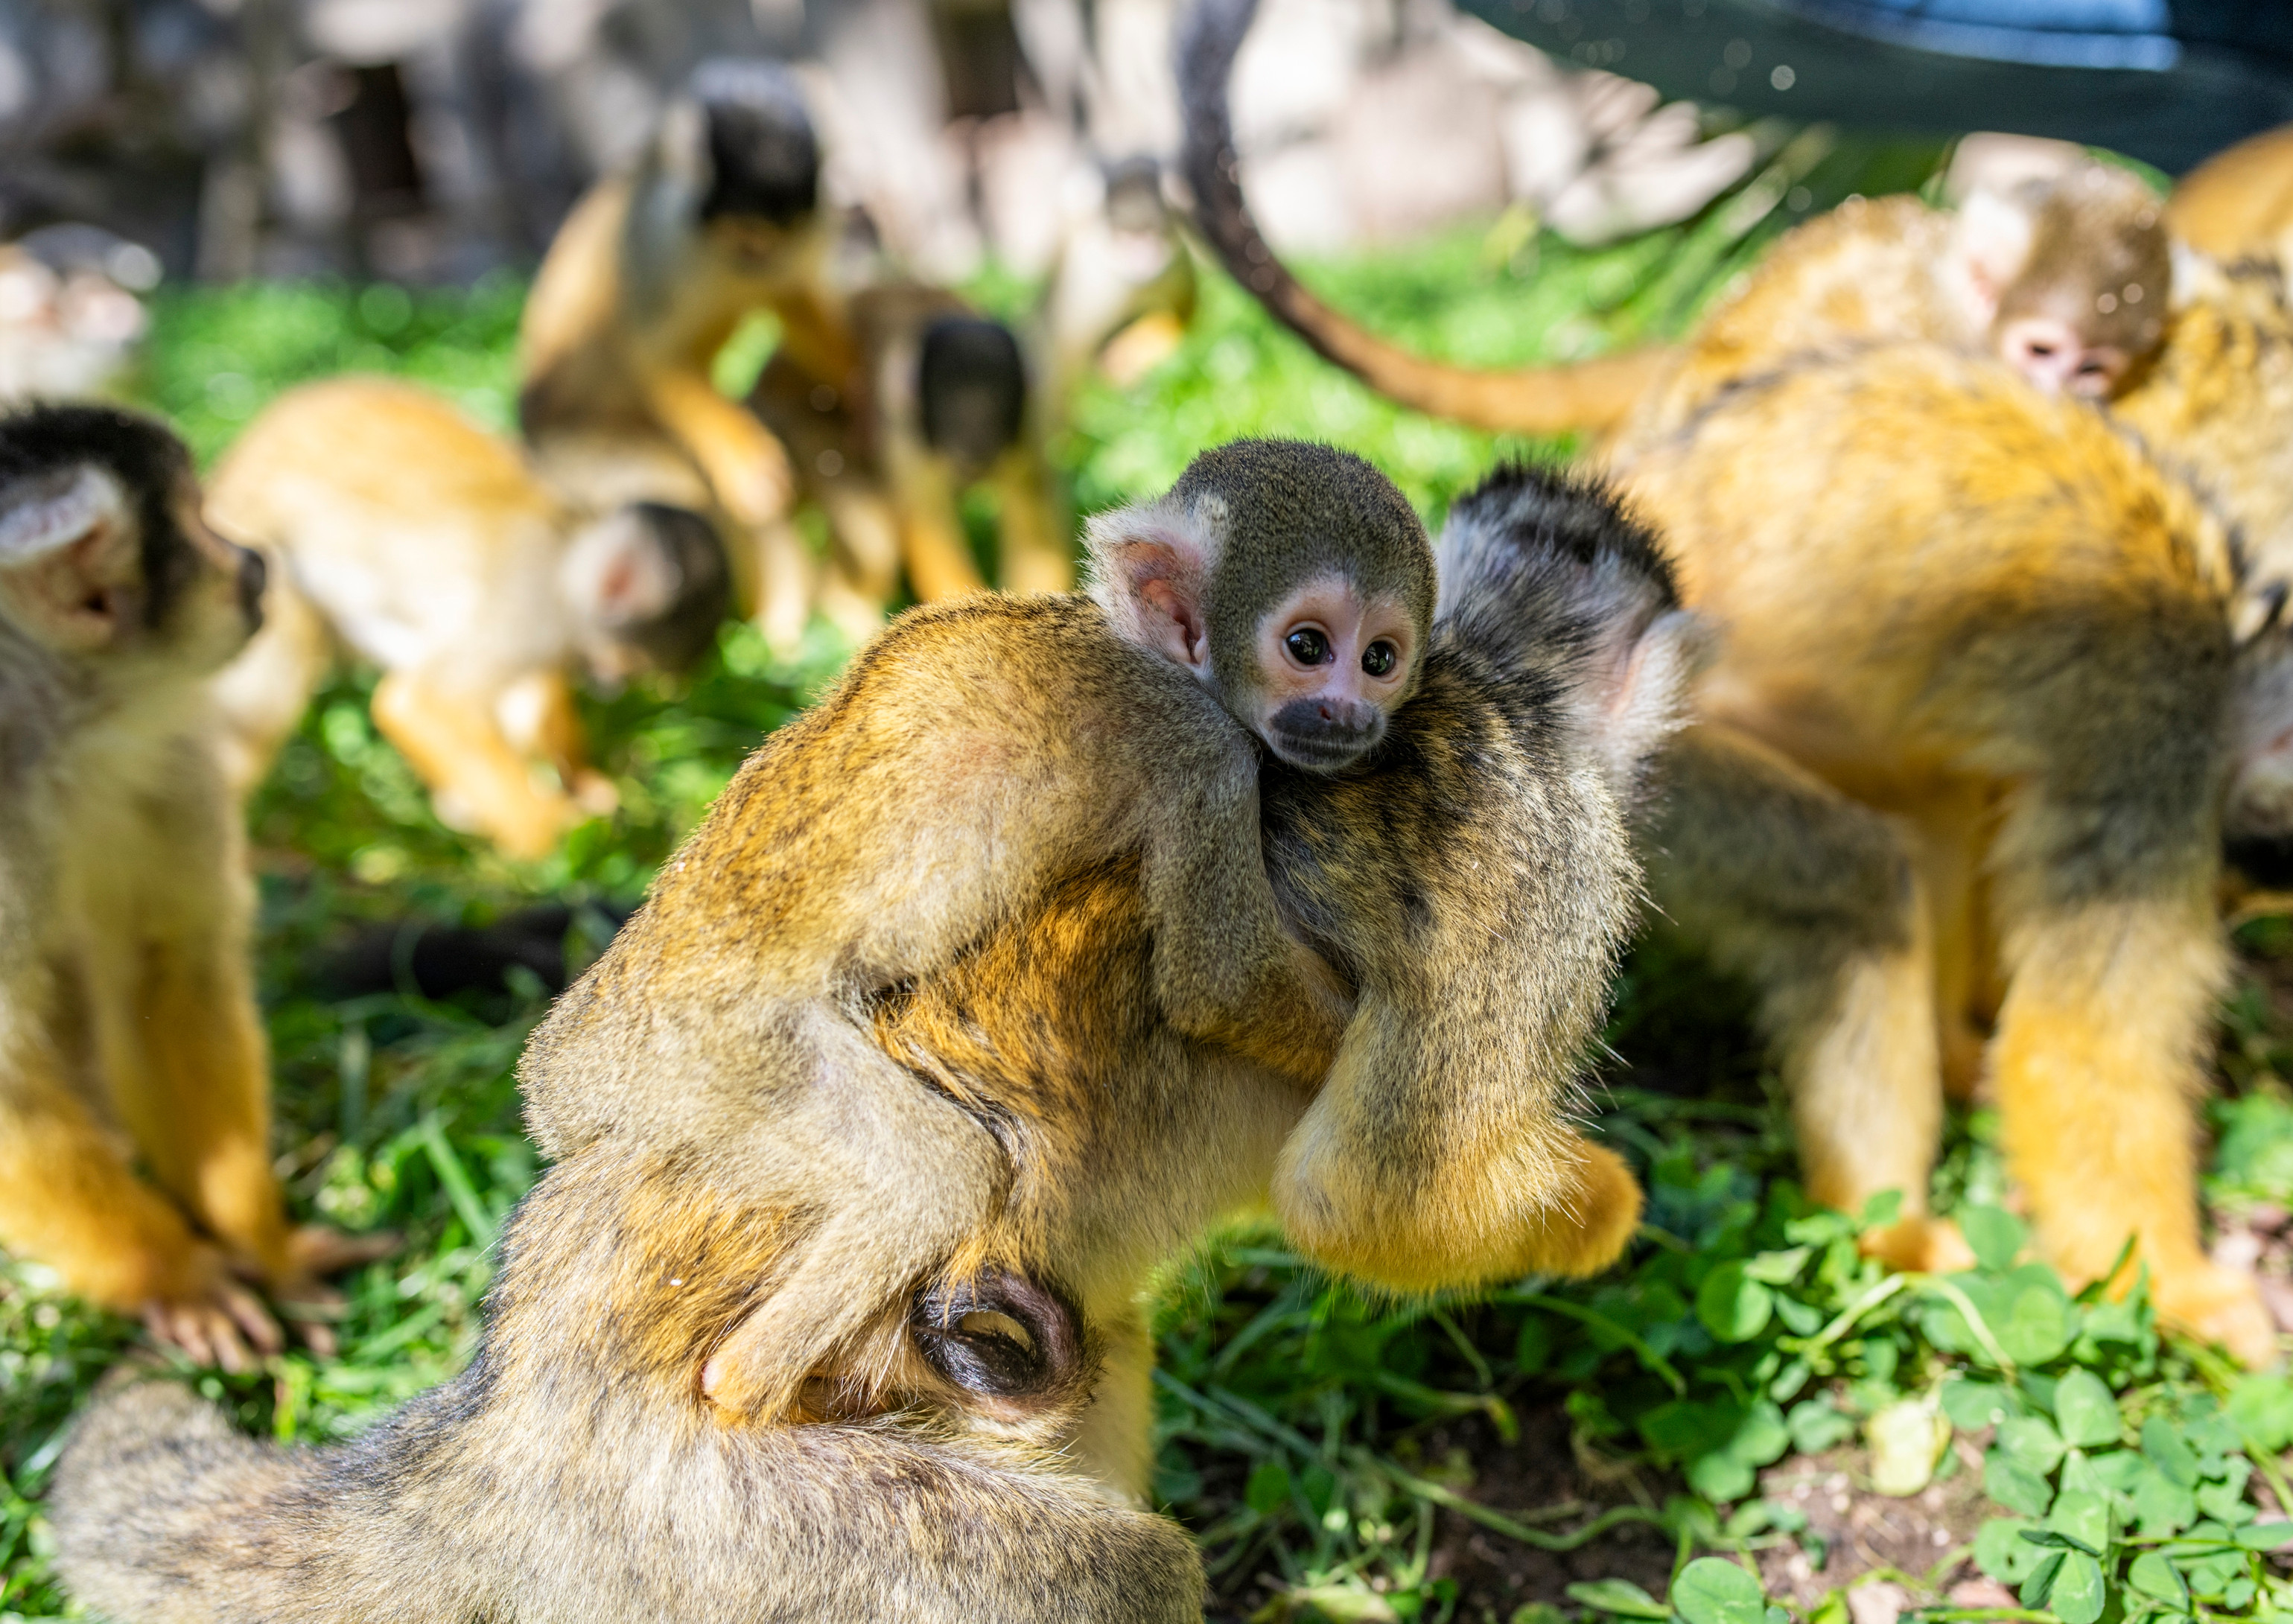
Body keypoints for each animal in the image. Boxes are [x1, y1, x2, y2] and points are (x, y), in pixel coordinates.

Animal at [0, 404, 383, 1366]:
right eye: (201, 525)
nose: (251, 561)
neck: (44, 737)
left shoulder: (166, 754)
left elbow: (160, 970)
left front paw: (262, 1248)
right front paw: (173, 1277)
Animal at [58, 445, 1705, 1624]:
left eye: (1383, 653)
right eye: (1314, 644)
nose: (1345, 718)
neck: (1509, 683)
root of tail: (498, 1419)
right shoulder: (1534, 857)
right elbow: (1359, 1189)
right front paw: (1604, 1210)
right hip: (706, 1507)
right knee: (1086, 1550)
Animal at [206, 380, 729, 862]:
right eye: (625, 663)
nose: (611, 685)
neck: (567, 550)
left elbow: (529, 701)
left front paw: (585, 783)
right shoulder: (530, 608)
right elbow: (421, 706)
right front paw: (555, 840)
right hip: (255, 565)